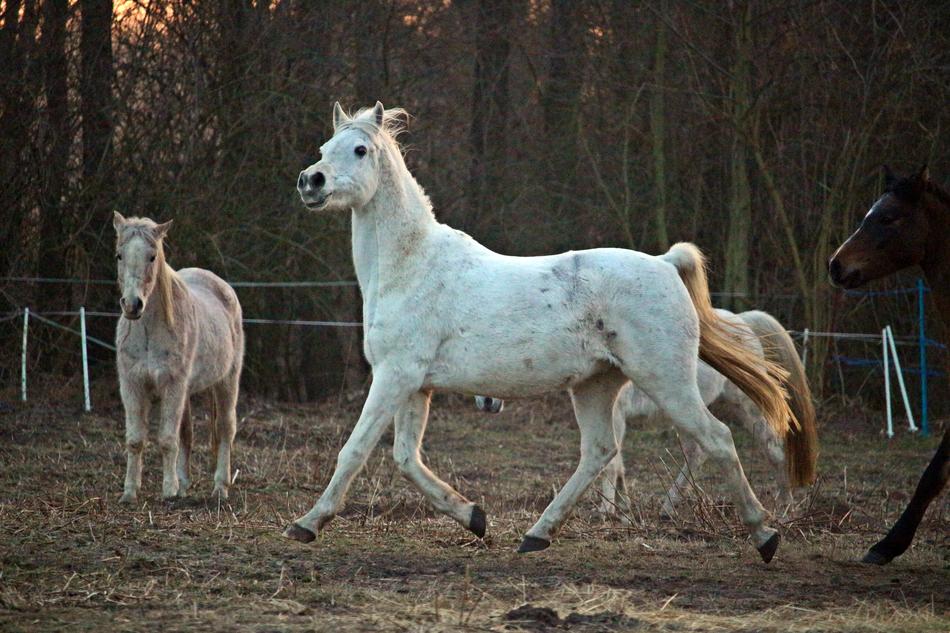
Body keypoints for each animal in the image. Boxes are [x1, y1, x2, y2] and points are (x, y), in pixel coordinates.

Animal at [113, 213, 245, 503]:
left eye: (153, 256)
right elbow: (136, 440)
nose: (132, 305)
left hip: (227, 381)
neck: (149, 330)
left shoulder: (172, 385)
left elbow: (166, 439)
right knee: (187, 433)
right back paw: (184, 485)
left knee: (225, 429)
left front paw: (168, 491)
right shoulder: (132, 385)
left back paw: (220, 487)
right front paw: (129, 492)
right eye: (119, 255)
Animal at [599, 309, 818, 518]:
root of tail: (742, 319)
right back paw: (667, 508)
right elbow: (616, 462)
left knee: (772, 448)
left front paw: (607, 510)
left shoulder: (614, 415)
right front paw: (620, 507)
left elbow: (610, 461)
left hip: (745, 407)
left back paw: (784, 508)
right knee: (697, 453)